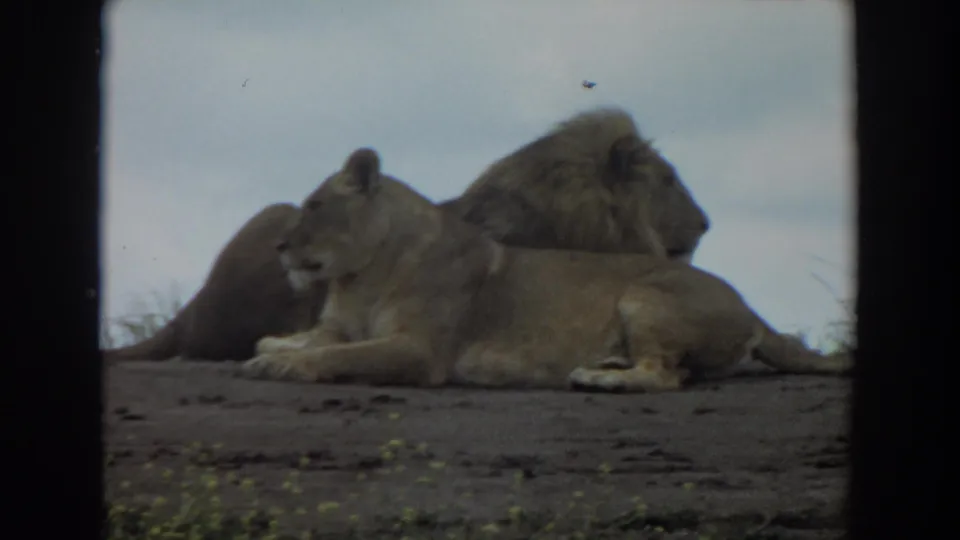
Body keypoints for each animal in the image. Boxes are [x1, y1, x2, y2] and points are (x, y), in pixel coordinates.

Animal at [241, 148, 851, 392]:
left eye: (315, 206)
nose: (279, 245)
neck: (360, 276)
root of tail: (752, 308)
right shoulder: (342, 322)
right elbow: (315, 338)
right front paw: (273, 347)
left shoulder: (419, 349)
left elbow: (340, 356)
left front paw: (286, 364)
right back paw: (606, 361)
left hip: (644, 296)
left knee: (666, 376)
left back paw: (603, 378)